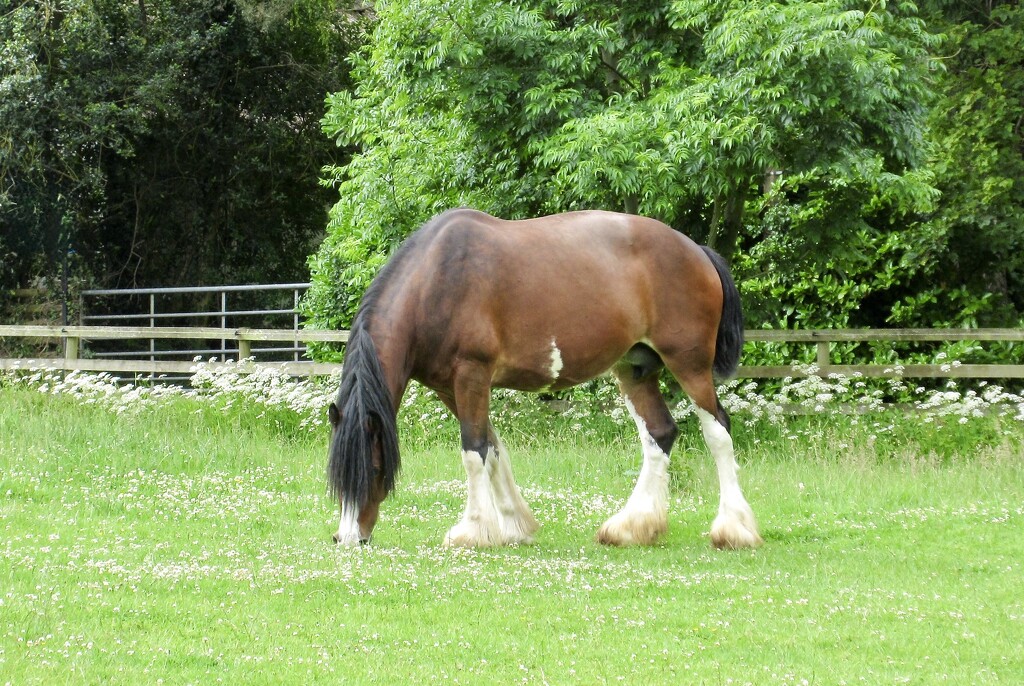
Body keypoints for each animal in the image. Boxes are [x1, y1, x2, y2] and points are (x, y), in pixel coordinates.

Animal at [327, 208, 762, 550]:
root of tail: (696, 251)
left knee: (718, 432)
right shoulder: (451, 388)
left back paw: (733, 530)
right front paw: (513, 525)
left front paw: (473, 531)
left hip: (690, 366)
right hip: (635, 369)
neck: (436, 282)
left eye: (375, 470)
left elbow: (473, 450)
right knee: (660, 434)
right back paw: (631, 527)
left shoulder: (472, 374)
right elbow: (492, 448)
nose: (348, 538)